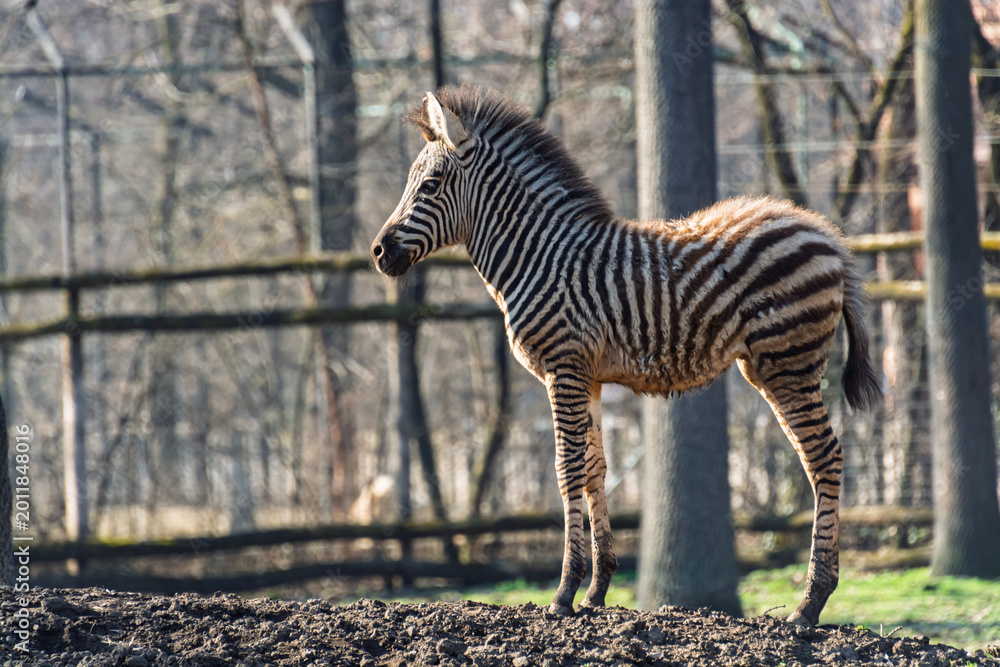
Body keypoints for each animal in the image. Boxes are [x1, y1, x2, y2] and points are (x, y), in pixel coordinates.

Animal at [370, 86, 881, 626]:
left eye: (431, 184)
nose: (378, 252)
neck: (539, 256)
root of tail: (826, 234)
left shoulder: (563, 366)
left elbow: (567, 468)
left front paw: (563, 594)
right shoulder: (587, 376)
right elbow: (595, 469)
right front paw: (596, 591)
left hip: (787, 362)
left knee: (824, 456)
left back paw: (810, 604)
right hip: (771, 367)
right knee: (815, 458)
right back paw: (815, 598)